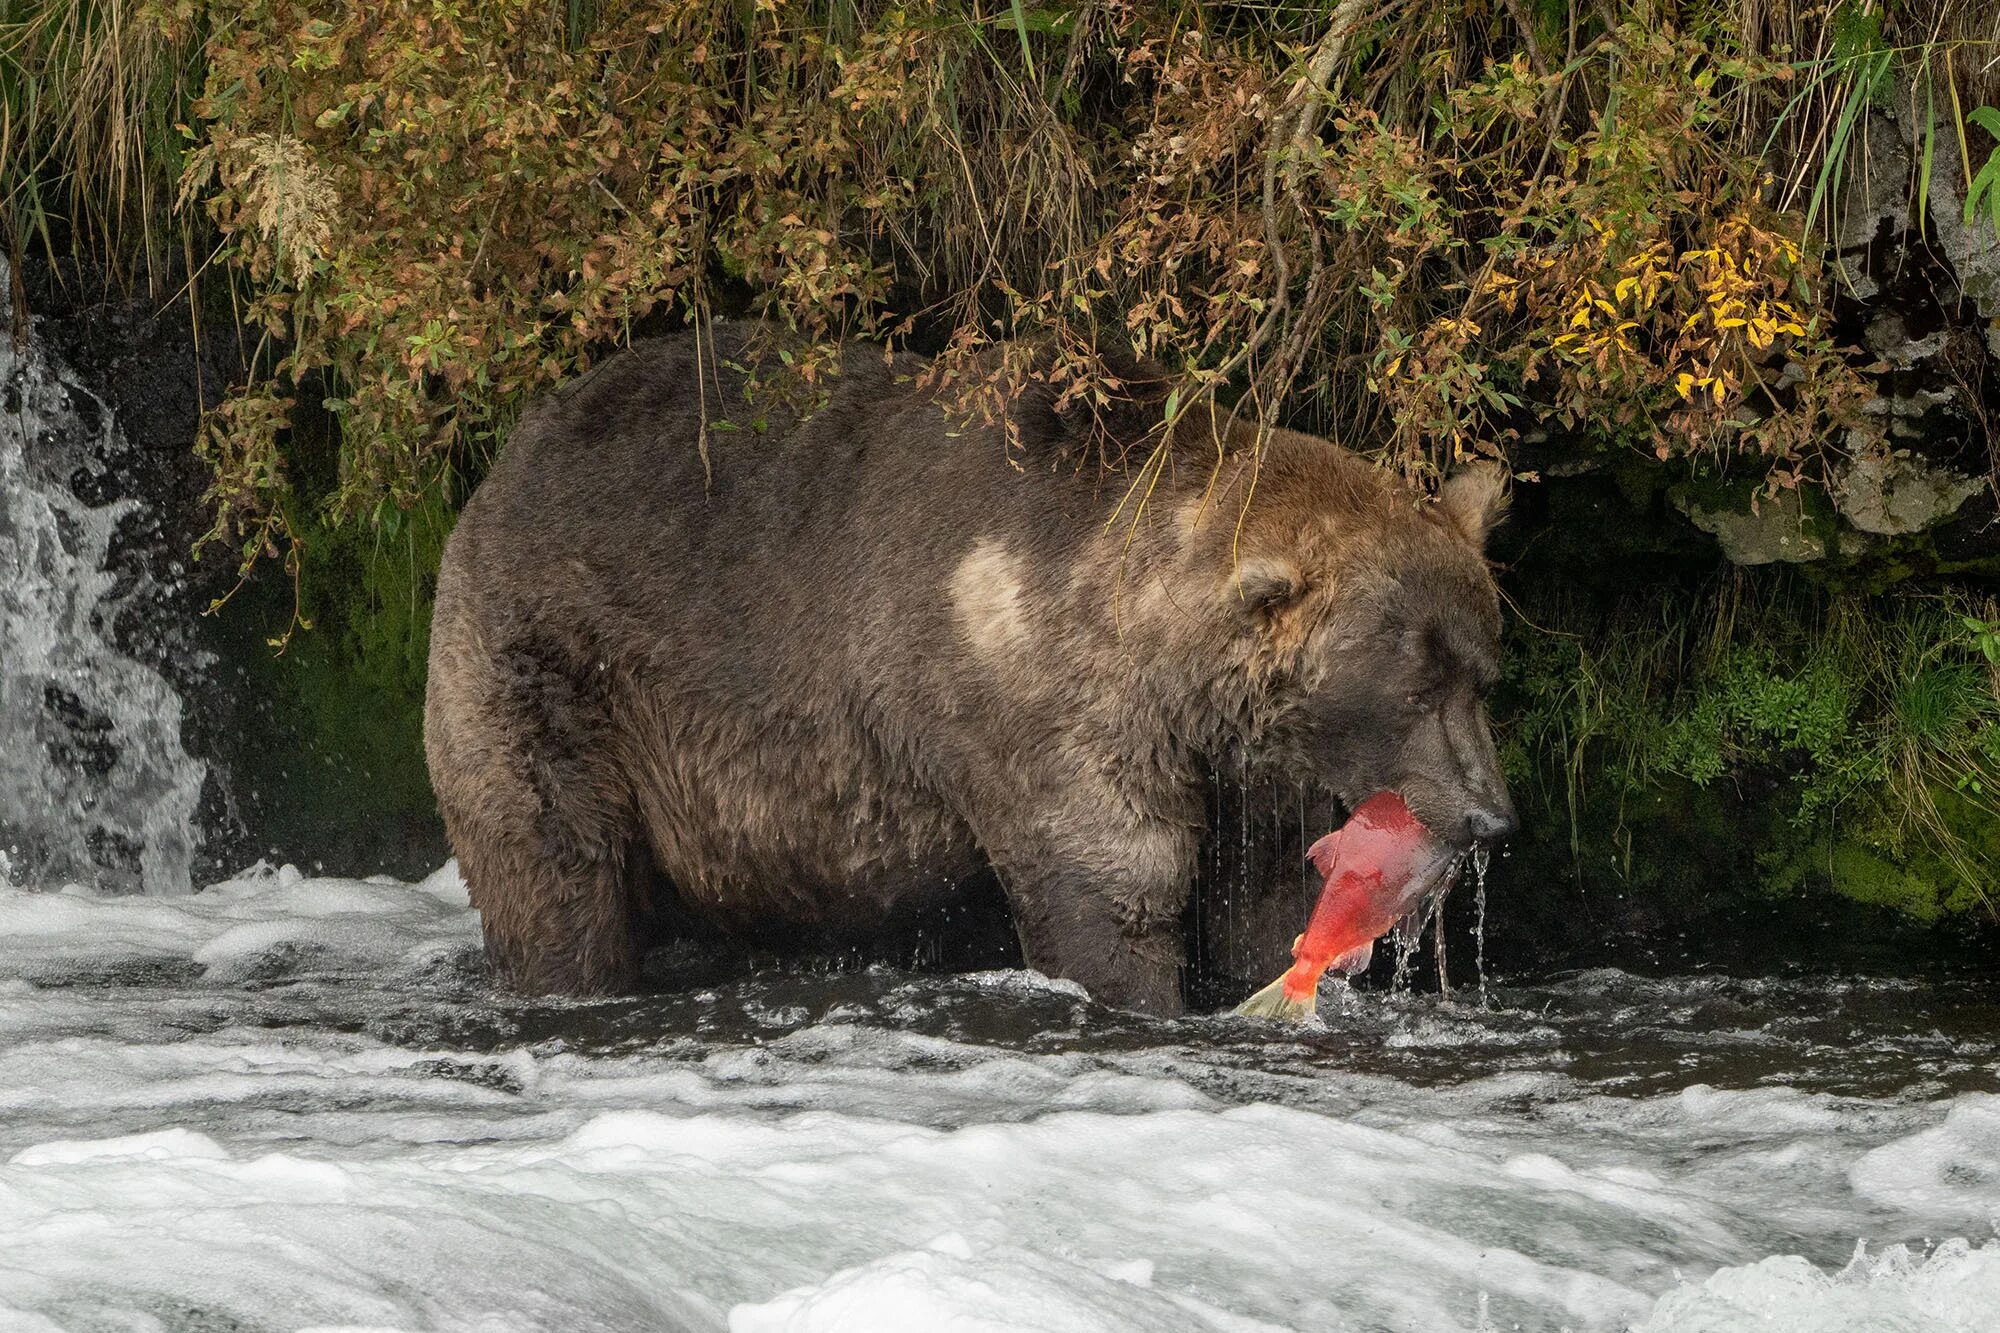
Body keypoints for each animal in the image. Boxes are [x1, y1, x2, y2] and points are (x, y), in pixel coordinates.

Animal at [426, 330, 1512, 1008]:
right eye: (1414, 683)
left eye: (1479, 671)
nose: (1489, 814)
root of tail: (509, 453)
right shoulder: (1046, 708)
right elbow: (1113, 891)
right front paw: (1144, 991)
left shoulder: (1244, 761)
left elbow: (1261, 895)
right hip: (554, 668)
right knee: (555, 866)